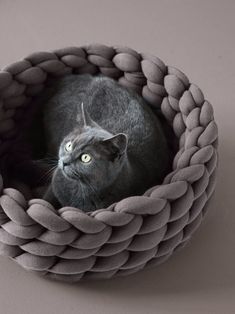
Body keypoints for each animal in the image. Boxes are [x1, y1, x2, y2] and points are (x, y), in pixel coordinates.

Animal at [41, 73, 171, 212]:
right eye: (69, 146)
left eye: (85, 158)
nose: (65, 162)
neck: (81, 190)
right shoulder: (55, 181)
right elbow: (46, 199)